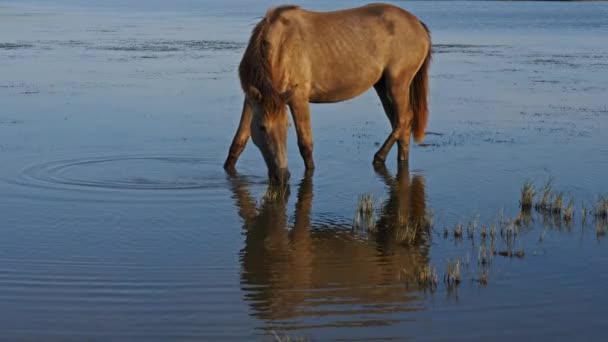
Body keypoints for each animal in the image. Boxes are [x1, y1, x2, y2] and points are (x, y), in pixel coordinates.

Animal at [224, 2, 432, 183]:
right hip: (383, 86)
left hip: (397, 84)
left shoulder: (298, 98)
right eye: (262, 128)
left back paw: (379, 157)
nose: (282, 176)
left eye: (286, 126)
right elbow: (239, 140)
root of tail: (418, 25)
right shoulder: (252, 99)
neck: (281, 46)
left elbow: (305, 144)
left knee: (404, 119)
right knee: (401, 126)